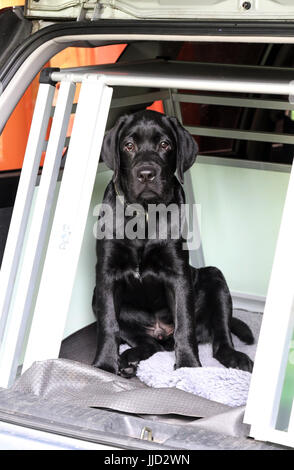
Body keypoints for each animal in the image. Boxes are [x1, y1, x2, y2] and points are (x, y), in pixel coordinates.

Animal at [92, 108, 253, 376]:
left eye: (165, 145)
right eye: (128, 145)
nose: (146, 174)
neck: (145, 214)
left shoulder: (178, 273)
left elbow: (184, 324)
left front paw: (188, 365)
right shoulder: (106, 275)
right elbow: (108, 324)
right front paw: (104, 365)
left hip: (215, 278)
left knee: (220, 337)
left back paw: (235, 357)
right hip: (98, 298)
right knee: (150, 344)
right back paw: (128, 361)